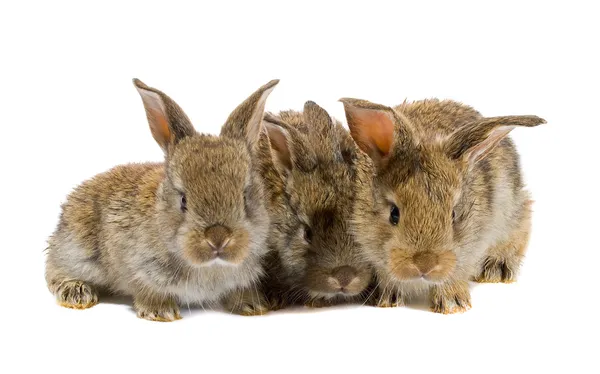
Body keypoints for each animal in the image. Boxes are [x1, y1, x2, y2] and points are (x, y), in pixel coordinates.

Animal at [44, 77, 278, 320]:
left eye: (245, 196)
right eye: (183, 200)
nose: (218, 238)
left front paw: (253, 306)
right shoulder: (138, 267)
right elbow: (147, 289)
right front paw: (160, 312)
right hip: (76, 248)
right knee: (53, 268)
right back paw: (76, 292)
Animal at [340, 97, 548, 312]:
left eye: (454, 215)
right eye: (394, 214)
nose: (425, 264)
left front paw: (452, 303)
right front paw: (387, 299)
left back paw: (498, 268)